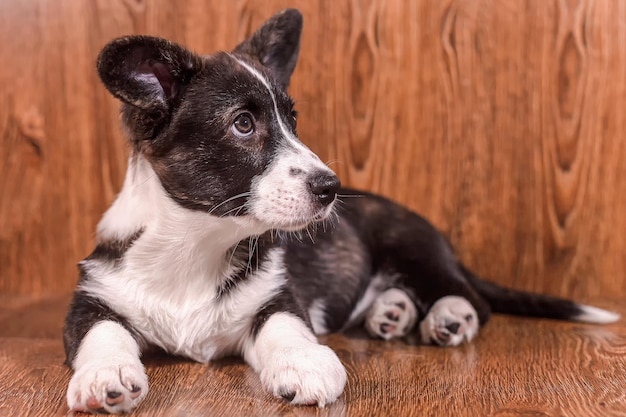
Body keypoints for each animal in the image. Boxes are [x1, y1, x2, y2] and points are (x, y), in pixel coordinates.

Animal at [61, 8, 616, 412]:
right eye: (243, 124)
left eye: (293, 121)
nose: (332, 188)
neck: (197, 244)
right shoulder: (91, 302)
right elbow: (103, 333)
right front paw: (107, 374)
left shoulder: (278, 296)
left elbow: (286, 327)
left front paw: (305, 364)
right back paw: (392, 312)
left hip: (412, 247)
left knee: (472, 298)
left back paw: (447, 316)